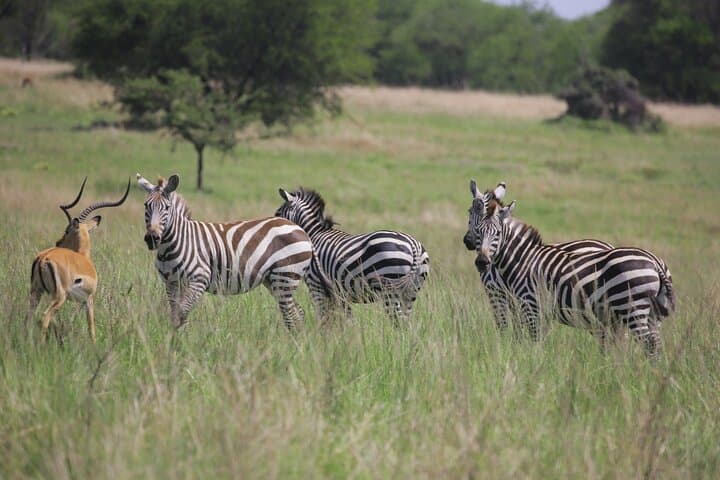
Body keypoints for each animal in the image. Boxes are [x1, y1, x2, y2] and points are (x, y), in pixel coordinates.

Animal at [28, 177, 130, 341]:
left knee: (28, 317)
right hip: (59, 296)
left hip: (36, 292)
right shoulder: (89, 299)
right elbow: (91, 324)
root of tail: (43, 258)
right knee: (45, 316)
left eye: (66, 230)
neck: (84, 257)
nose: (58, 242)